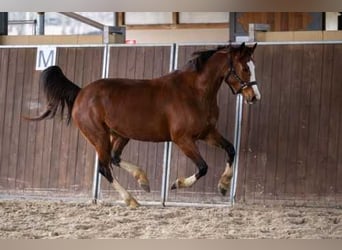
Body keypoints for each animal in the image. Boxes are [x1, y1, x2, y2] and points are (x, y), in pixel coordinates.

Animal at [26, 42, 260, 207]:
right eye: (245, 68)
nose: (254, 96)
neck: (195, 92)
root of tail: (81, 92)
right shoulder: (183, 139)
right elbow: (203, 167)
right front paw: (176, 184)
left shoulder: (208, 133)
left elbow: (231, 149)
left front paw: (224, 185)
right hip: (99, 136)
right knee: (105, 167)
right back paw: (131, 200)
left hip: (121, 134)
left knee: (114, 158)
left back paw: (143, 180)